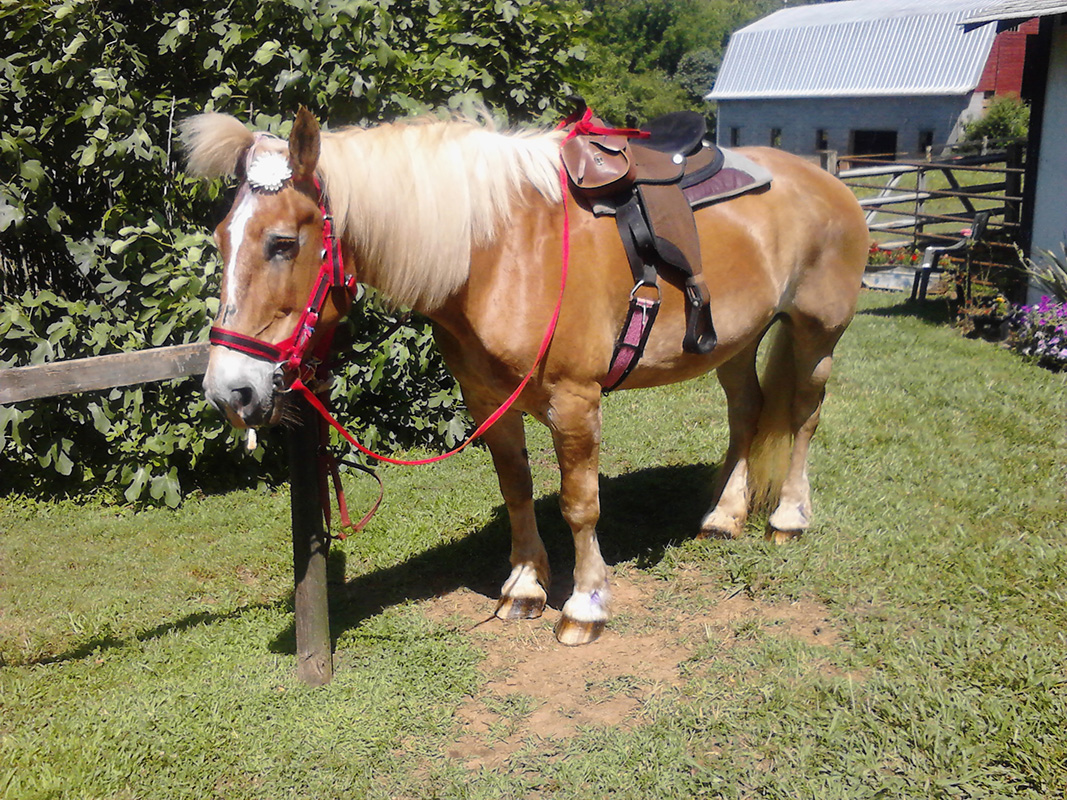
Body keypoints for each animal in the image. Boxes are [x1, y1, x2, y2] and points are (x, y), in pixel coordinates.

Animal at [180, 107, 868, 646]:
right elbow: (515, 489)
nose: (228, 391)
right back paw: (723, 516)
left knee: (803, 415)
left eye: (280, 243)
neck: (497, 253)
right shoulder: (489, 399)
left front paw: (585, 604)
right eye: (221, 237)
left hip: (817, 334)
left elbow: (580, 504)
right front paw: (526, 587)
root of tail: (825, 180)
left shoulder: (575, 401)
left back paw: (788, 518)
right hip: (734, 343)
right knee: (746, 411)